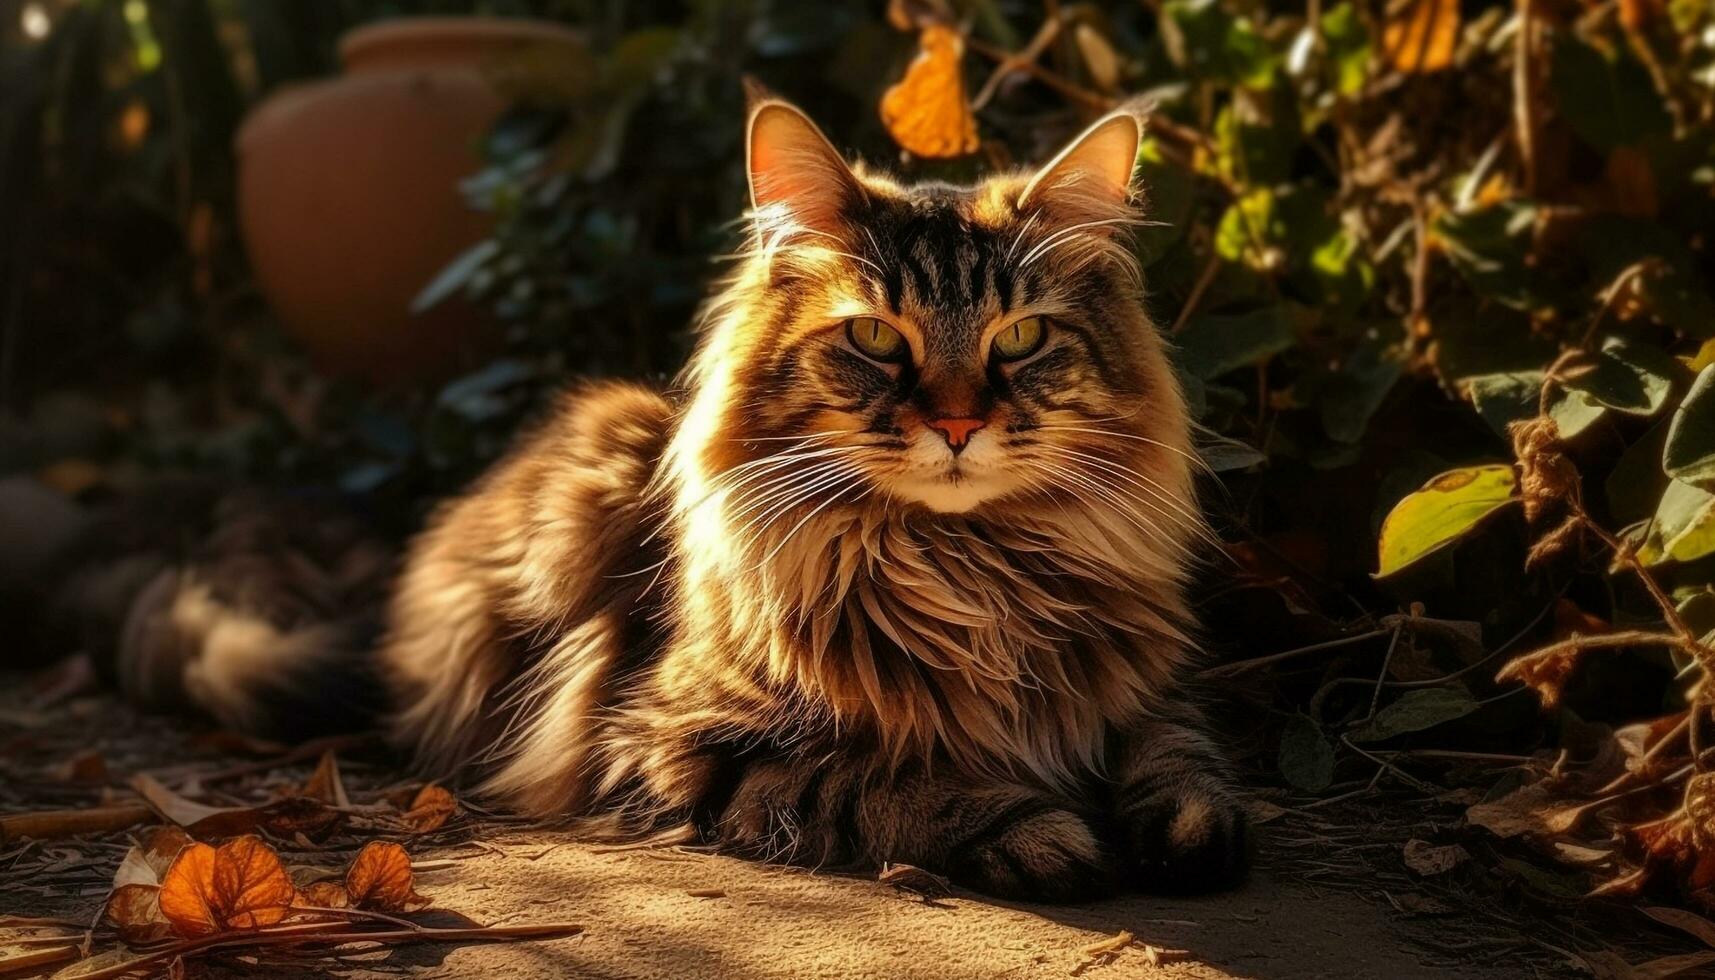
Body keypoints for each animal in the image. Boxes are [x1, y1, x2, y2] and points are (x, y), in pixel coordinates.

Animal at [30, 93, 1248, 906]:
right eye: (873, 338)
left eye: (1022, 338)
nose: (955, 425)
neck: (968, 573)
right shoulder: (688, 741)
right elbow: (902, 775)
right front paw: (1042, 830)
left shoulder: (1137, 684)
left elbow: (1177, 751)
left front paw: (1186, 825)